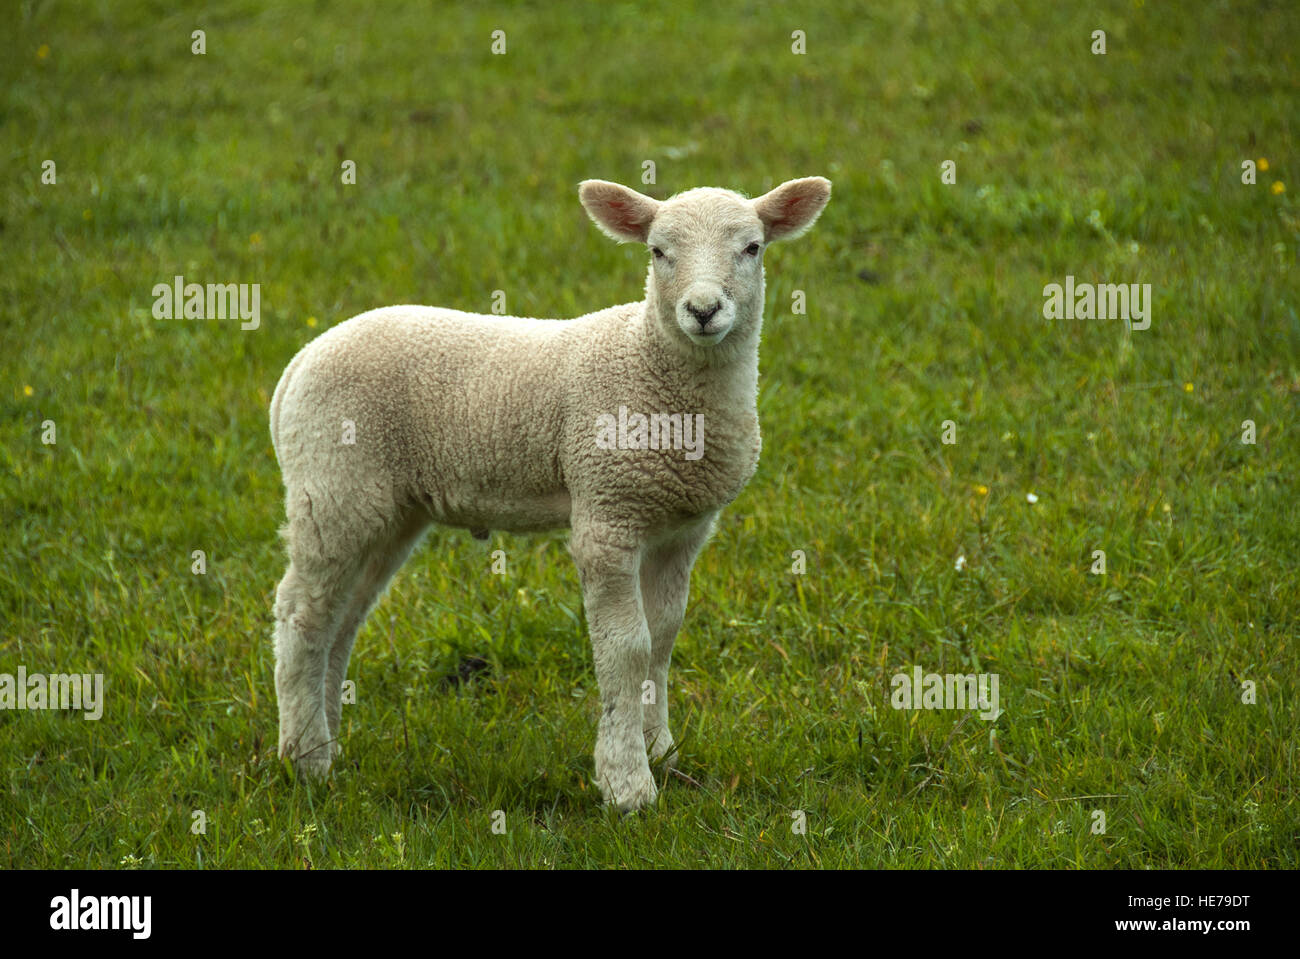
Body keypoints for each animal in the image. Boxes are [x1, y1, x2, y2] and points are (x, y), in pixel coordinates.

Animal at [269, 171, 832, 805]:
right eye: (657, 252)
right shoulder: (607, 512)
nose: (704, 310)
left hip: (385, 506)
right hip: (332, 487)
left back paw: (329, 743)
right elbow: (626, 647)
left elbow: (662, 637)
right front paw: (627, 783)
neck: (651, 365)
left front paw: (661, 750)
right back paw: (306, 760)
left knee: (341, 620)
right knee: (300, 617)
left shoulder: (682, 526)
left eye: (752, 248)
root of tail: (299, 363)